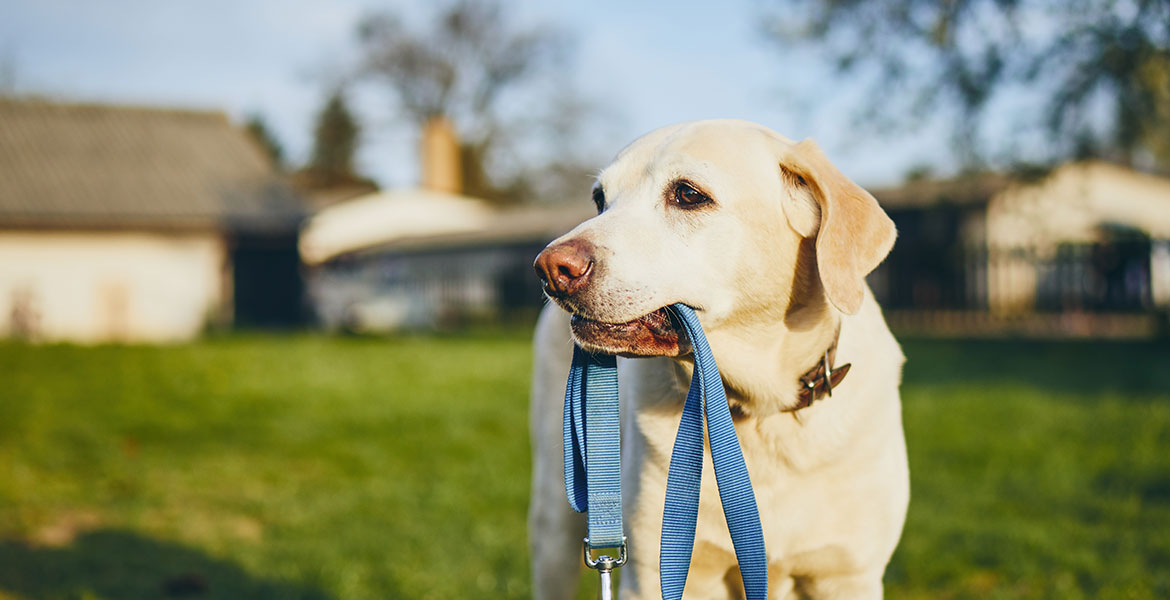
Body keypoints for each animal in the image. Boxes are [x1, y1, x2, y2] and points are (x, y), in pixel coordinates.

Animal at [528, 119, 903, 596]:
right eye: (600, 199)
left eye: (688, 194)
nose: (549, 269)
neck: (758, 414)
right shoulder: (656, 573)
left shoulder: (847, 575)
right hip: (555, 517)